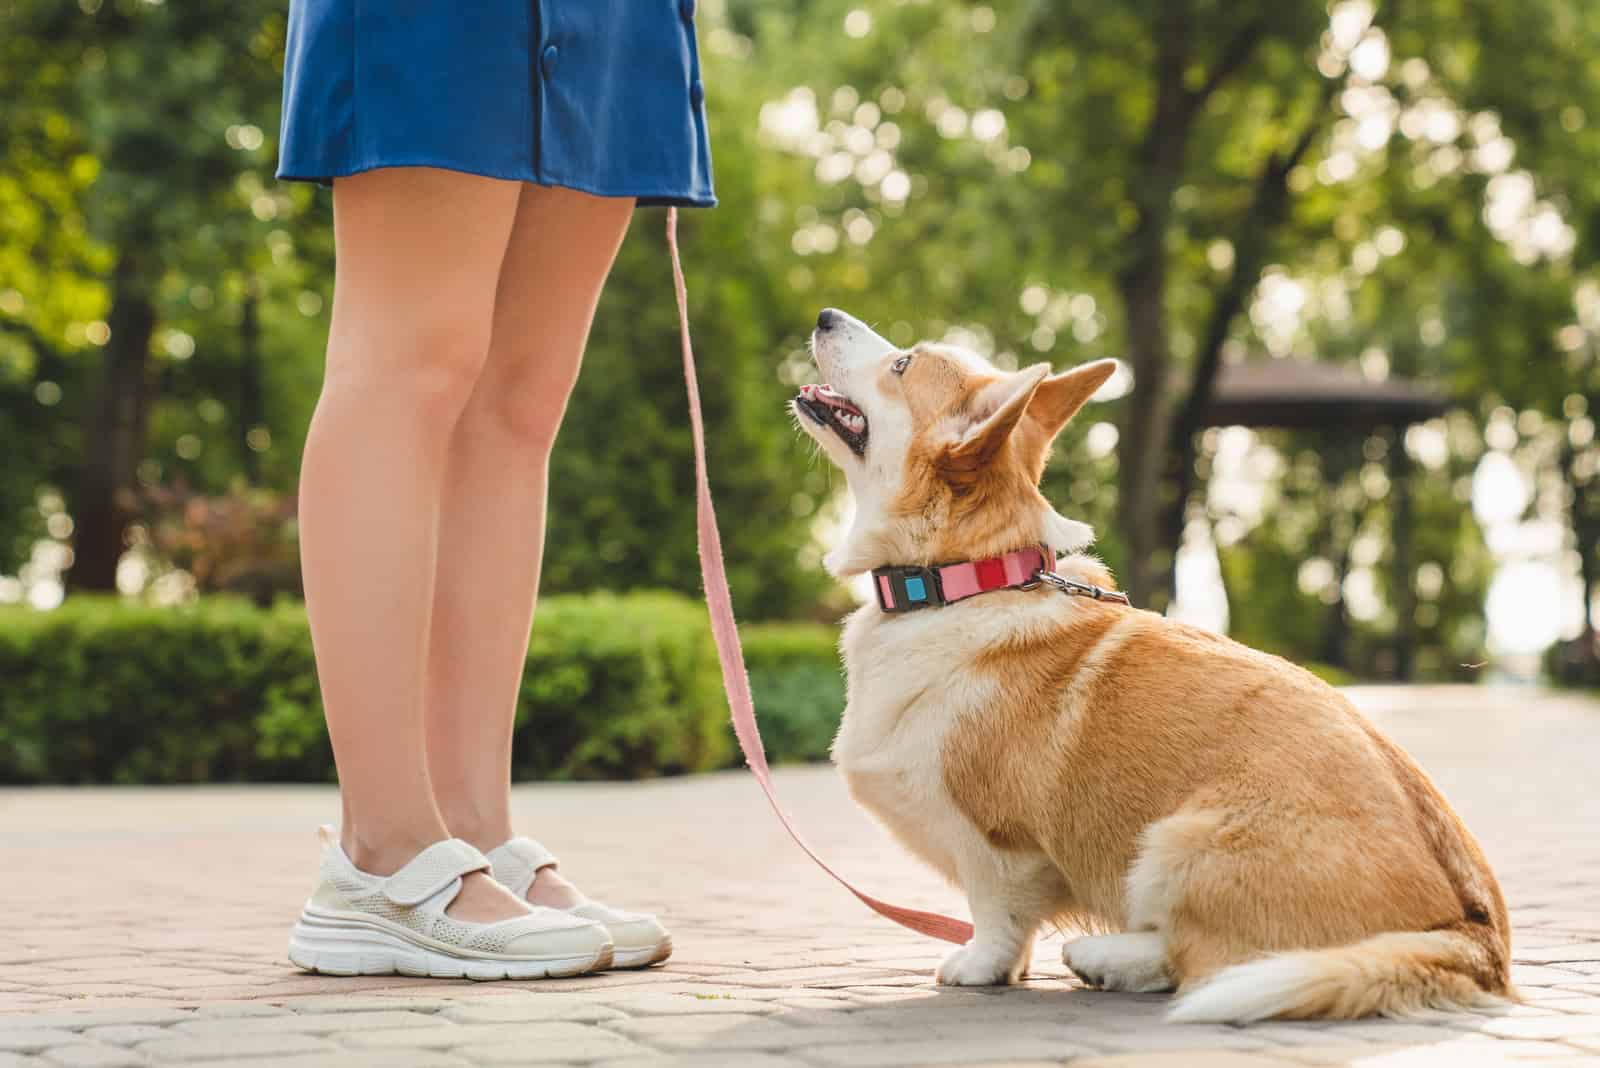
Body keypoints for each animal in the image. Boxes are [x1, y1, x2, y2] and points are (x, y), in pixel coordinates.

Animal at [793, 303, 1516, 1023]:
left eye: (903, 364)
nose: (825, 314)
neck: (963, 579)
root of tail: (1475, 938)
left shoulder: (997, 844)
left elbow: (997, 912)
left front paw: (978, 965)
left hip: (1172, 845)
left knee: (1207, 961)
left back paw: (1107, 956)